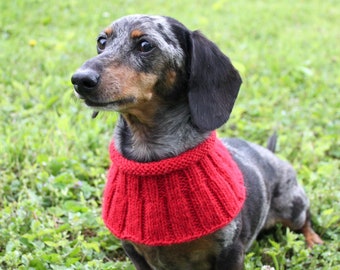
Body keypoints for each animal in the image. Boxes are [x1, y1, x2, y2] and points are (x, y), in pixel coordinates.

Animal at [71, 14, 322, 270]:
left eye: (145, 45)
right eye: (102, 41)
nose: (80, 79)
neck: (152, 155)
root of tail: (269, 153)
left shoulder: (230, 250)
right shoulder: (133, 251)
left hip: (293, 208)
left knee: (306, 221)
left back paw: (314, 242)